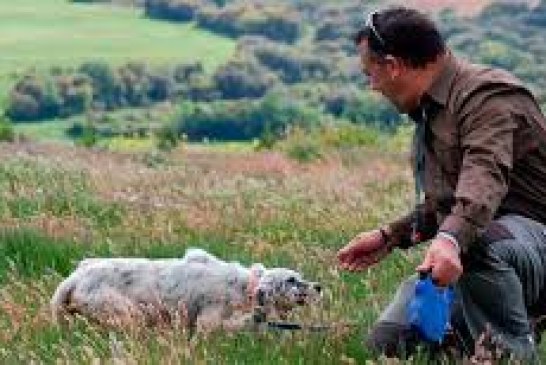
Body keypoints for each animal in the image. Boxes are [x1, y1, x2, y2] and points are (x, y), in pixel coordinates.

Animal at [50, 247, 318, 330]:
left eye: (300, 276)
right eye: (292, 280)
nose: (319, 286)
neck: (245, 287)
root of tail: (74, 277)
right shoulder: (210, 321)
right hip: (123, 313)